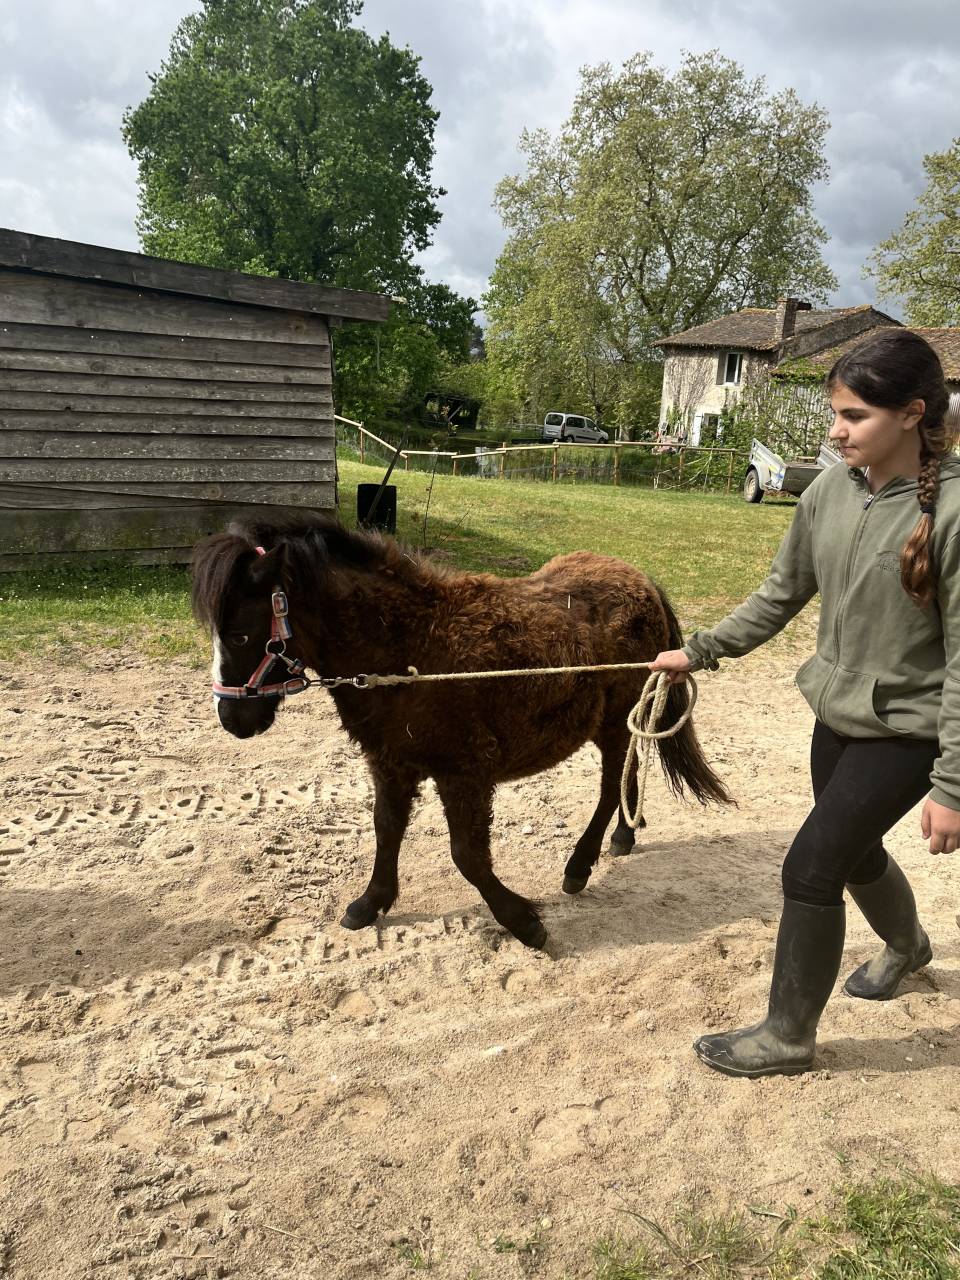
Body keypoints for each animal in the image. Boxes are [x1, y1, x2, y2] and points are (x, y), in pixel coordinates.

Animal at [191, 511, 731, 949]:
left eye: (240, 633)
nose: (233, 720)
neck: (409, 648)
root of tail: (642, 580)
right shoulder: (391, 764)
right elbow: (386, 830)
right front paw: (370, 903)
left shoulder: (464, 773)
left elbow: (467, 855)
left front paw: (524, 923)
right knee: (631, 769)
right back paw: (623, 837)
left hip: (613, 723)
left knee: (609, 784)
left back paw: (580, 866)